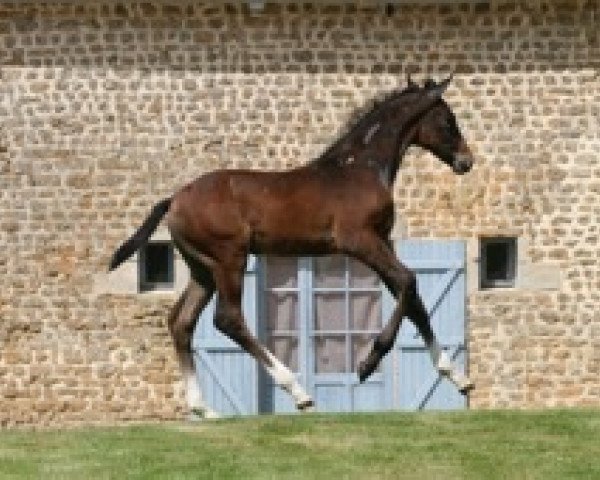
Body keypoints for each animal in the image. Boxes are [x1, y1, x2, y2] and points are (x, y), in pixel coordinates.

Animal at [106, 75, 474, 416]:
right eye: (448, 120)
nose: (466, 161)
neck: (360, 168)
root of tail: (173, 200)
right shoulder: (359, 240)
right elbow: (408, 282)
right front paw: (368, 362)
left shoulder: (382, 241)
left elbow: (413, 298)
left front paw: (457, 377)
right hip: (230, 258)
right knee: (227, 318)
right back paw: (299, 392)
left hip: (203, 269)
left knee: (181, 322)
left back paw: (203, 408)